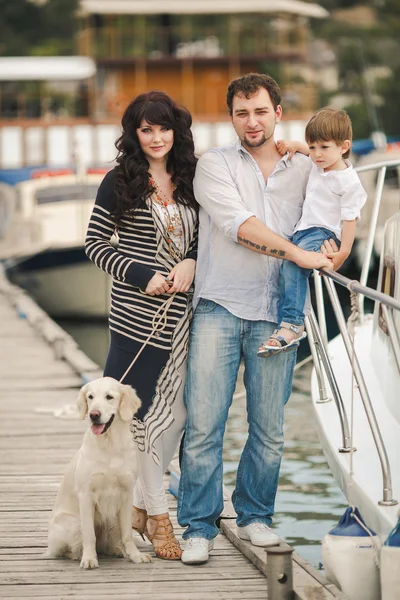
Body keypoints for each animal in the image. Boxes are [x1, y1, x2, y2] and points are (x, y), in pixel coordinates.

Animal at [46, 378, 152, 568]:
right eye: (90, 397)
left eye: (109, 397)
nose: (93, 414)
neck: (110, 444)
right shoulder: (86, 495)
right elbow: (89, 535)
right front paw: (88, 558)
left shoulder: (127, 493)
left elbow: (127, 534)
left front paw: (135, 555)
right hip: (72, 523)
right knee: (66, 549)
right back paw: (77, 555)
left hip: (111, 520)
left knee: (108, 544)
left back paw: (117, 550)